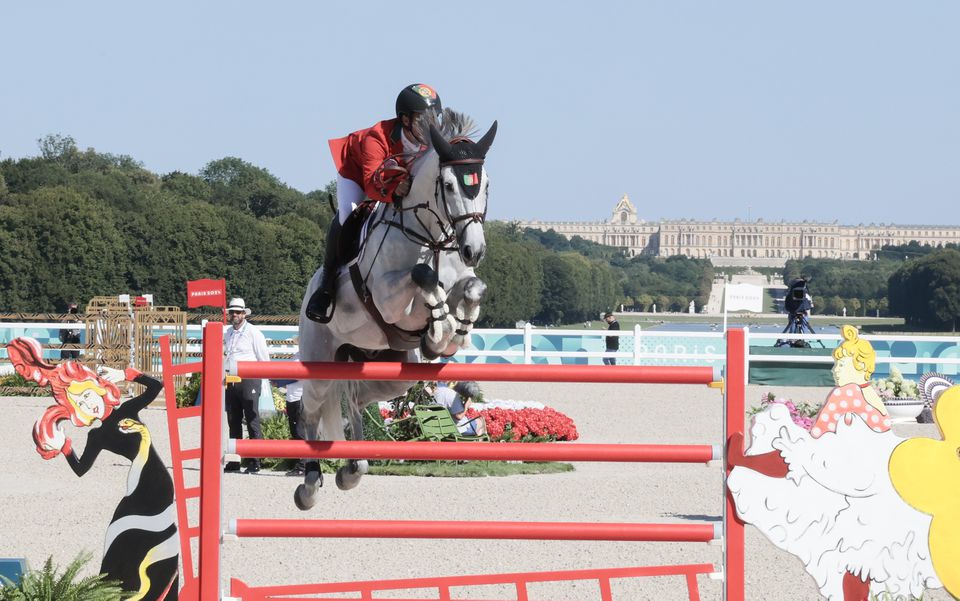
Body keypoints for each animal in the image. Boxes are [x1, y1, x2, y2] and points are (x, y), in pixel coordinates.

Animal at [294, 110, 496, 508]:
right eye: (448, 185)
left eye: (485, 185)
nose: (474, 250)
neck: (431, 238)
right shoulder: (387, 298)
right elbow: (422, 277)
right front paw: (440, 328)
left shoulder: (460, 279)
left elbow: (470, 287)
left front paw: (452, 332)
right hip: (320, 361)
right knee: (310, 412)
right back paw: (309, 484)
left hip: (393, 370)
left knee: (357, 398)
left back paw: (352, 468)